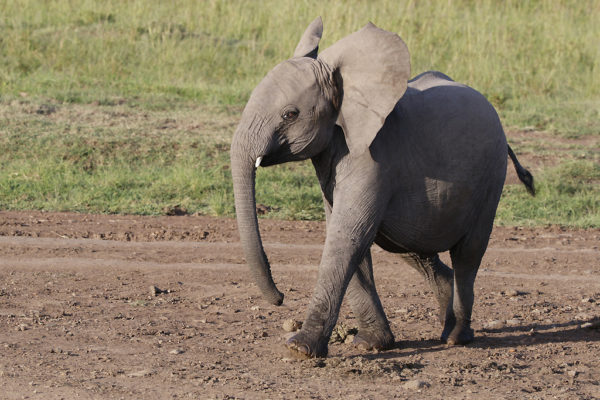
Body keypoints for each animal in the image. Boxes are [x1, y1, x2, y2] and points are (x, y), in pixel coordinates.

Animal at [230, 17, 536, 358]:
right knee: (414, 247)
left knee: (468, 253)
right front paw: (372, 344)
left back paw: (457, 337)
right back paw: (446, 324)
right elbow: (348, 236)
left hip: (490, 177)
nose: (281, 297)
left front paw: (300, 349)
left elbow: (347, 234)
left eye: (290, 114)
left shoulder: (374, 158)